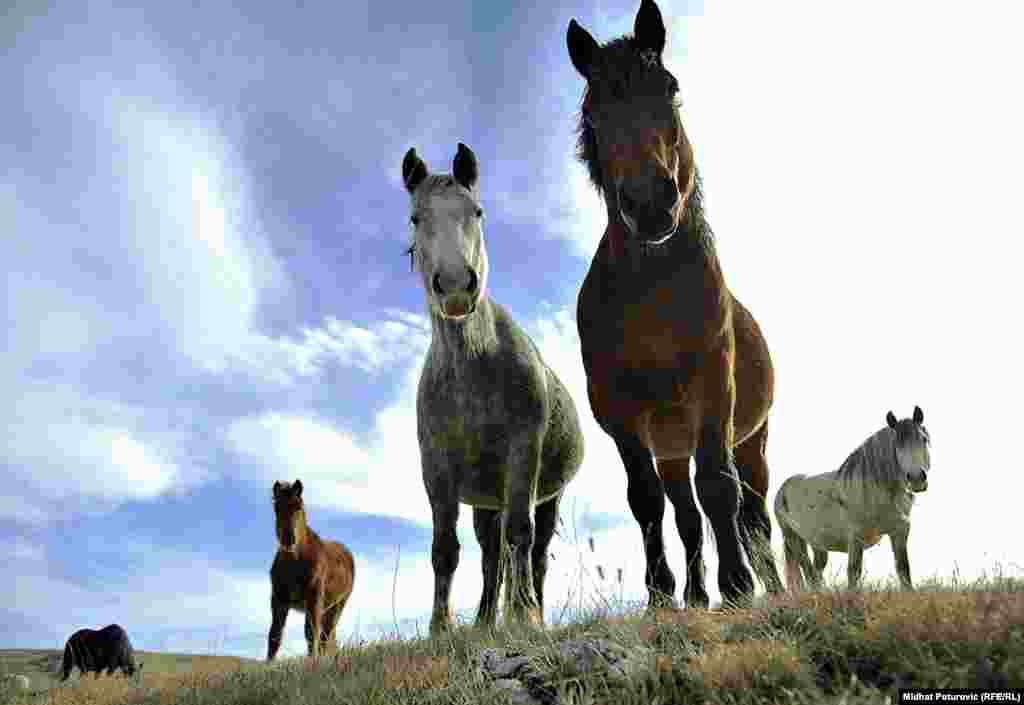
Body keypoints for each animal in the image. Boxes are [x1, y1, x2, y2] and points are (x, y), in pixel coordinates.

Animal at [268, 475, 356, 664]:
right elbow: (275, 635)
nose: (289, 540)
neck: (295, 562)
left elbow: (310, 633)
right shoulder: (278, 599)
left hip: (337, 606)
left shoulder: (314, 599)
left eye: (299, 507)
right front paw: (268, 665)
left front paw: (312, 663)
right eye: (277, 508)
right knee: (328, 637)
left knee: (325, 636)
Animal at [403, 141, 589, 635]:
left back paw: (529, 609)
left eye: (478, 211)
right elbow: (445, 550)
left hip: (547, 494)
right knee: (492, 554)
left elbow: (521, 537)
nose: (454, 285)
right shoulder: (438, 469)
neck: (474, 370)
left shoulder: (523, 451)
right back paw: (487, 619)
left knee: (532, 552)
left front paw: (524, 616)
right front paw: (441, 628)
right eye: (416, 218)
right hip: (486, 501)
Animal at [569, 0, 782, 606]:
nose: (649, 204)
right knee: (685, 514)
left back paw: (773, 586)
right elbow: (646, 502)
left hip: (753, 442)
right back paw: (694, 593)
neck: (653, 297)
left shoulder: (714, 392)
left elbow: (719, 489)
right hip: (670, 449)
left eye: (670, 87)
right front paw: (662, 593)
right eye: (594, 112)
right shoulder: (621, 415)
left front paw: (738, 586)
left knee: (753, 516)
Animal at [774, 405, 937, 590]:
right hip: (792, 538)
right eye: (897, 445)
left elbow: (903, 570)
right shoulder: (855, 539)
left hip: (817, 544)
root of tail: (782, 489)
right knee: (808, 572)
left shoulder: (900, 532)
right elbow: (853, 573)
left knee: (816, 573)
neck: (877, 494)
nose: (916, 478)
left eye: (924, 439)